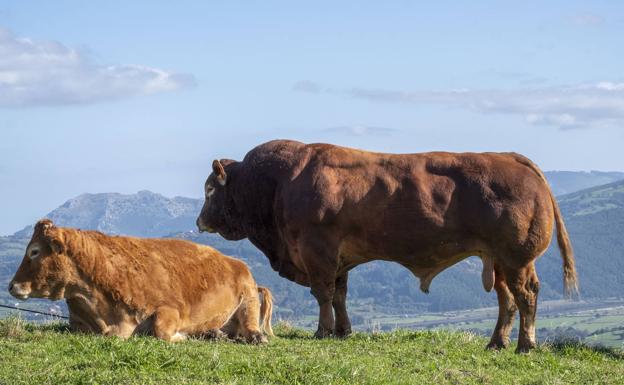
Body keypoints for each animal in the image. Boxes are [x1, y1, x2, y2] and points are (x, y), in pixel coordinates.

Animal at [7, 219, 272, 342]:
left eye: (34, 251)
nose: (11, 286)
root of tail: (237, 264)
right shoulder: (79, 325)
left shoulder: (170, 309)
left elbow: (161, 332)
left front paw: (182, 336)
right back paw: (214, 333)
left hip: (248, 298)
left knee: (251, 326)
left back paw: (255, 337)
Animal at [197, 139, 576, 352]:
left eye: (210, 189)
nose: (199, 221)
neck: (278, 184)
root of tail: (510, 158)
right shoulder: (340, 258)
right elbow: (339, 294)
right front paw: (343, 331)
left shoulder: (318, 250)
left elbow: (323, 294)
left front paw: (323, 331)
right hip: (498, 260)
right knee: (506, 300)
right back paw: (496, 343)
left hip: (516, 259)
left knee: (526, 295)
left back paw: (525, 345)